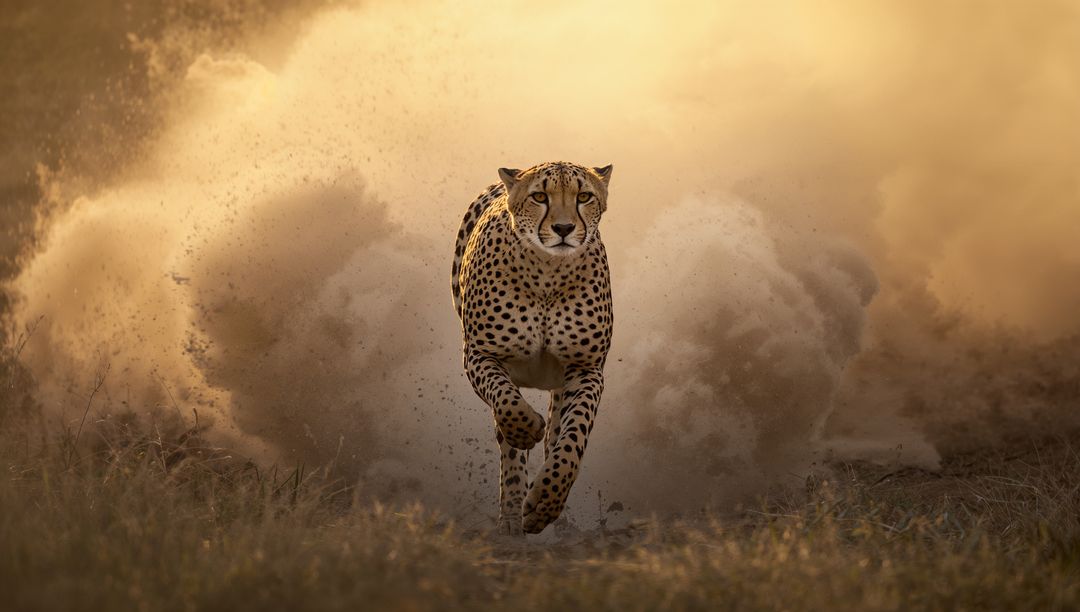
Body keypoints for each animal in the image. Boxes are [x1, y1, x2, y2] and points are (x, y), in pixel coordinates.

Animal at [451, 161, 614, 535]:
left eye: (584, 196)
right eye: (540, 196)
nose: (564, 228)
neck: (548, 272)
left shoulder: (586, 369)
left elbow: (573, 435)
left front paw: (547, 499)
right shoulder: (480, 354)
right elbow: (508, 404)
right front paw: (527, 428)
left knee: (556, 431)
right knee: (507, 439)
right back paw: (511, 518)